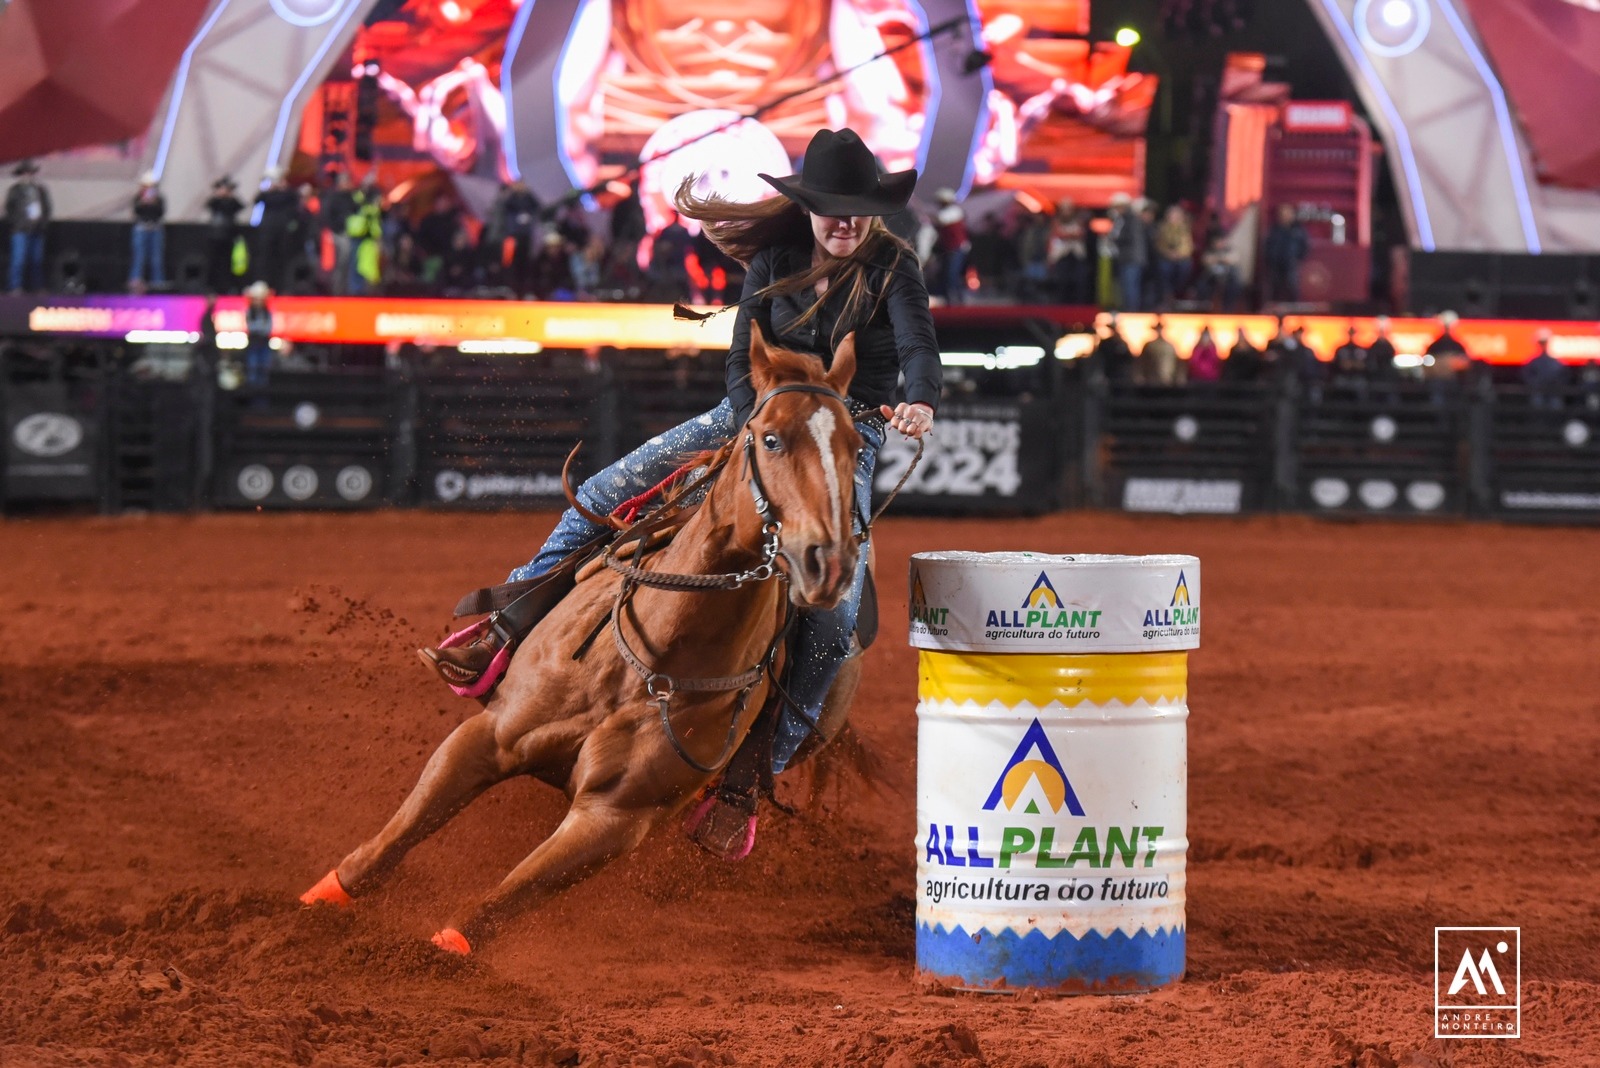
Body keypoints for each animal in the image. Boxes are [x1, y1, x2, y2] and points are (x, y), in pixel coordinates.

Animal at [305, 326, 870, 952]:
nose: (829, 562)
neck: (650, 657)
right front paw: (315, 909)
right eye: (770, 439)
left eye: (855, 449)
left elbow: (495, 905)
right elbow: (395, 838)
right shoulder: (489, 735)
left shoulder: (615, 818)